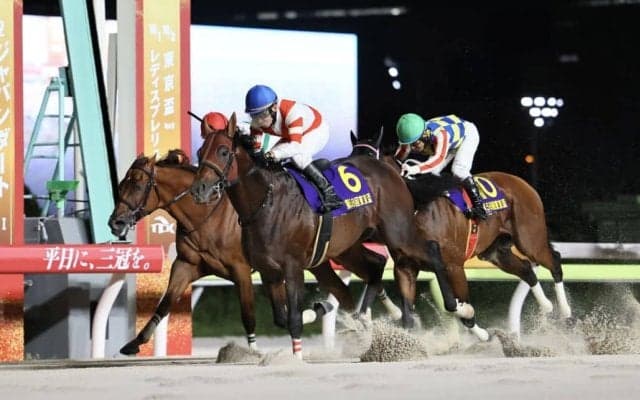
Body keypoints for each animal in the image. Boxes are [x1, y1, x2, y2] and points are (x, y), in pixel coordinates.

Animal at [108, 149, 398, 354]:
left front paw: (254, 350)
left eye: (136, 184)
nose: (116, 222)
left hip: (339, 251)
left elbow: (248, 313)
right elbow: (165, 303)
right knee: (355, 279)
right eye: (121, 184)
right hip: (328, 256)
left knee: (372, 267)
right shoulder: (187, 264)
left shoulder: (241, 269)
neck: (207, 214)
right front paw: (135, 343)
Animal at [190, 113, 458, 358]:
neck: (267, 203)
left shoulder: (293, 266)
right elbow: (281, 317)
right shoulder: (269, 271)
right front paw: (321, 309)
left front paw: (297, 358)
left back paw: (454, 305)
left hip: (398, 233)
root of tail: (392, 172)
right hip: (348, 247)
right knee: (375, 267)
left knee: (430, 250)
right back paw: (368, 322)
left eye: (224, 151)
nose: (199, 189)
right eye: (201, 151)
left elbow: (294, 319)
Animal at [350, 133, 572, 340]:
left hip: (529, 240)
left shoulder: (453, 266)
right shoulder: (405, 268)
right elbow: (407, 316)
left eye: (368, 158)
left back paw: (565, 311)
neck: (415, 208)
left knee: (554, 261)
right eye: (350, 156)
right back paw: (546, 305)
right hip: (495, 252)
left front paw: (479, 329)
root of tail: (522, 183)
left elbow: (455, 306)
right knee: (526, 269)